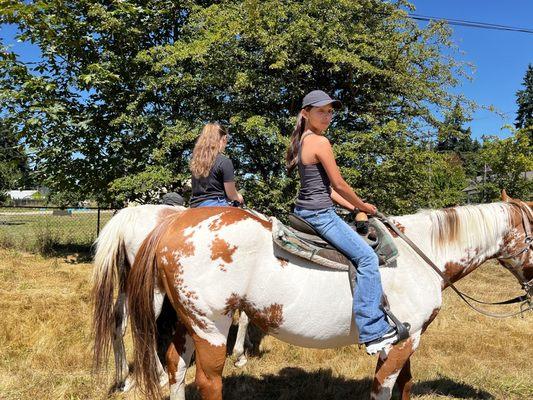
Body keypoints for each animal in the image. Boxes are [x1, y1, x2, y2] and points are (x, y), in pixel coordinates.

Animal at [111, 198, 528, 400]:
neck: (422, 253)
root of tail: (171, 224)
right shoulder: (402, 341)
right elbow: (385, 387)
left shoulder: (408, 337)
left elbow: (406, 385)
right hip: (211, 326)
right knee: (208, 381)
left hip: (188, 322)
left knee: (175, 368)